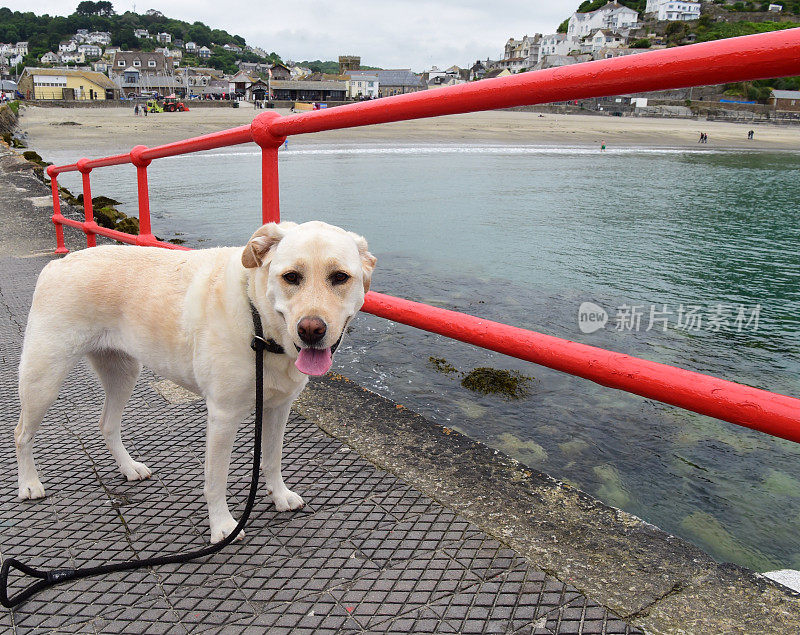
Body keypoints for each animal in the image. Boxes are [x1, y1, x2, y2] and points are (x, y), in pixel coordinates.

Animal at [13, 221, 376, 544]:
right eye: (291, 277)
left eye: (339, 277)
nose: (311, 330)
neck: (258, 323)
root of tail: (58, 264)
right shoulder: (223, 417)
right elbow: (216, 479)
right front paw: (223, 527)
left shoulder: (278, 408)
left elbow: (272, 459)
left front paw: (280, 495)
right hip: (43, 378)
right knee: (21, 434)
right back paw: (29, 483)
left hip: (124, 372)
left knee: (107, 424)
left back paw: (128, 467)